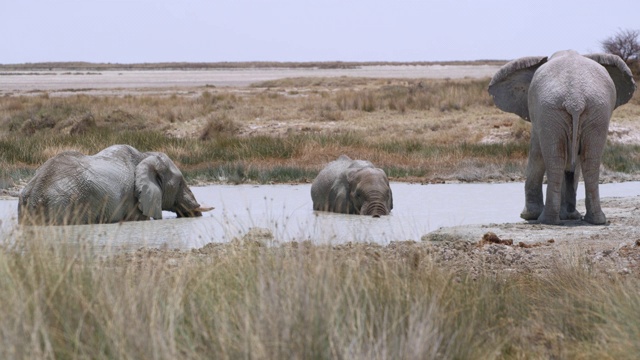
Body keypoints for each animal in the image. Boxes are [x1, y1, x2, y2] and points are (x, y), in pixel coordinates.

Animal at [490, 50, 636, 225]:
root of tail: (575, 99)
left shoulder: (538, 113)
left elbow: (537, 154)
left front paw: (529, 216)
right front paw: (569, 215)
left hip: (553, 109)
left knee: (556, 160)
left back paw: (548, 220)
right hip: (596, 111)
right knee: (589, 160)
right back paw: (594, 220)